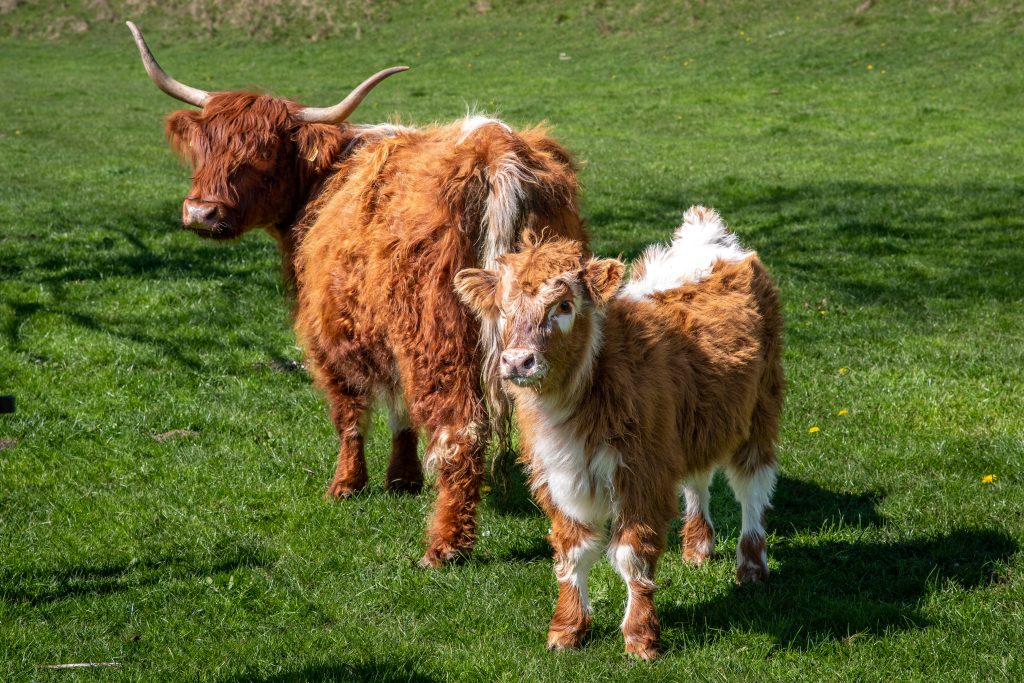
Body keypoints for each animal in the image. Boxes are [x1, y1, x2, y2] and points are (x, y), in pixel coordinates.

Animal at [456, 206, 782, 655]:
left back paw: (751, 565)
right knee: (697, 477)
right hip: (693, 421)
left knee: (752, 485)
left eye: (563, 305)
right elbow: (572, 550)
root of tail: (708, 235)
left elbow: (631, 554)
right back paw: (698, 546)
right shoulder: (558, 474)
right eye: (503, 308)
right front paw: (567, 628)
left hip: (761, 407)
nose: (518, 361)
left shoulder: (642, 472)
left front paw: (640, 637)